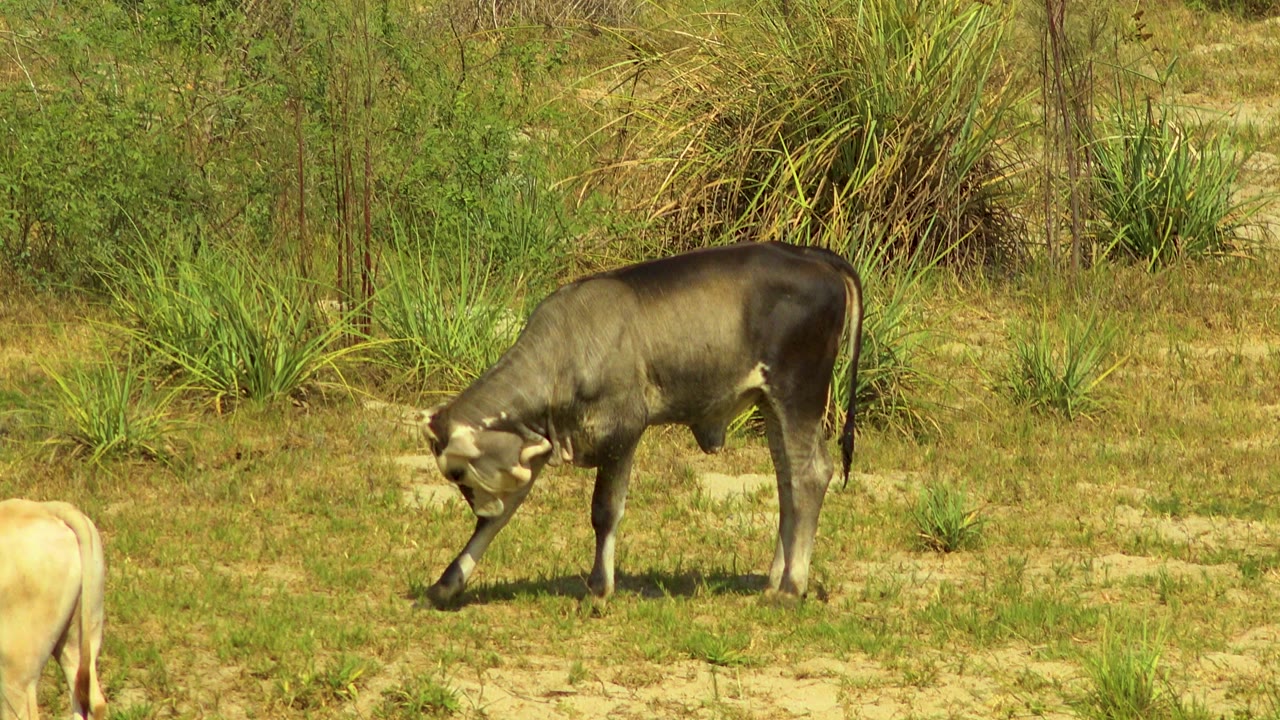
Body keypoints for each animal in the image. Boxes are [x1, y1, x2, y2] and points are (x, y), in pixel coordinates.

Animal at [419, 241, 863, 608]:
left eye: (456, 472)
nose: (479, 504)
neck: (565, 350)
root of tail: (808, 254)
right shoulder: (541, 442)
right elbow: (500, 518)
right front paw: (447, 583)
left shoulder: (623, 431)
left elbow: (604, 511)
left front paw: (599, 591)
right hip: (773, 404)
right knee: (788, 482)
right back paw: (776, 581)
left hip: (798, 393)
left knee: (810, 475)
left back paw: (791, 588)